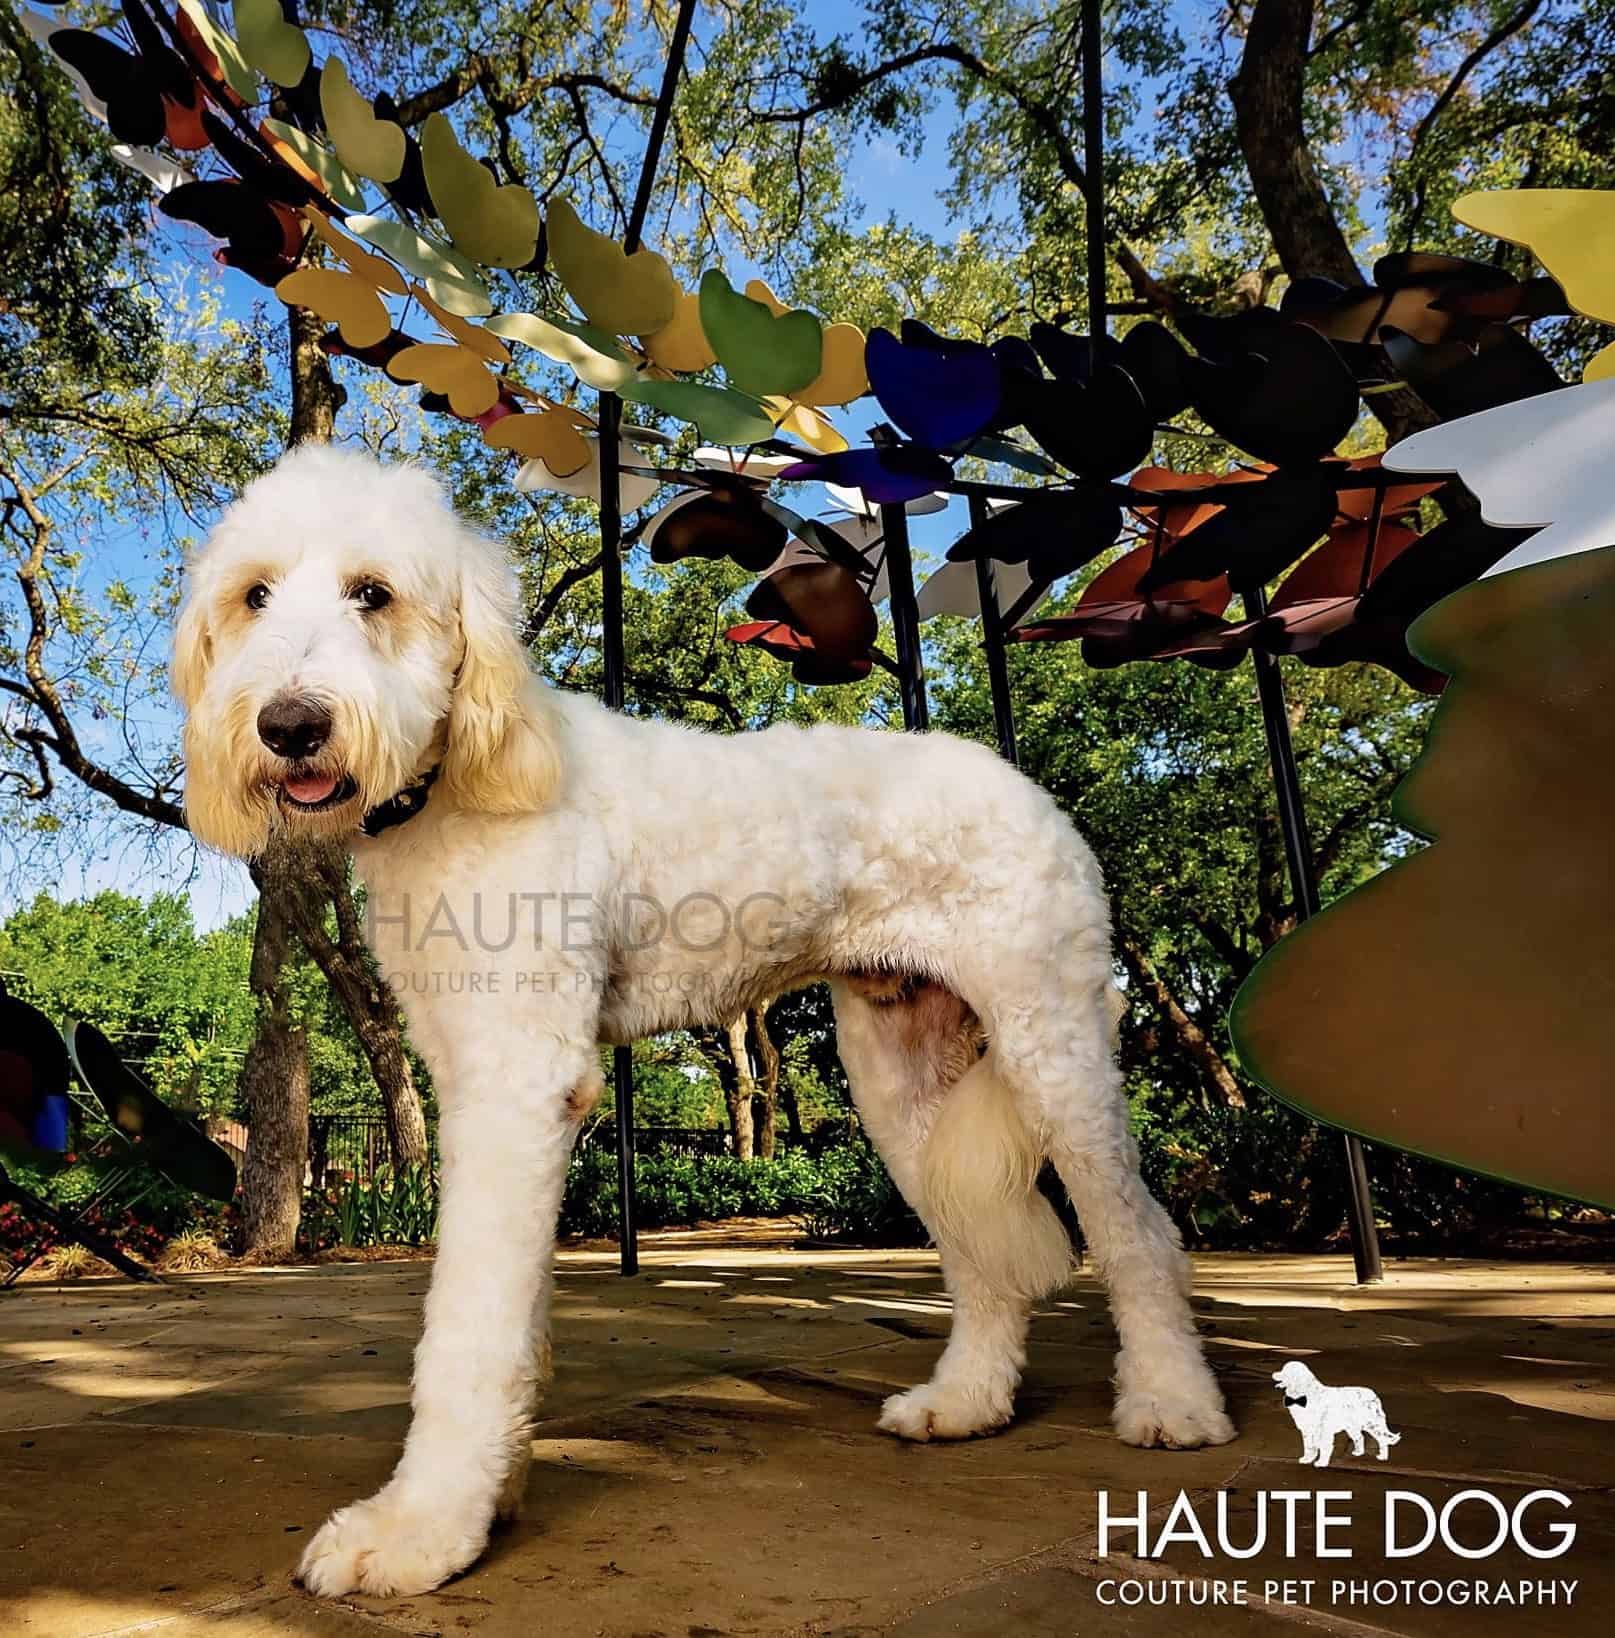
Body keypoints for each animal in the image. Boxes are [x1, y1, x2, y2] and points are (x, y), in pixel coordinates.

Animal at [174, 446, 1234, 1597]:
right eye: (254, 596)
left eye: (374, 593)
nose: (289, 727)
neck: (468, 769)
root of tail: (1012, 778)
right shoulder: (479, 1078)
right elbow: (513, 1314)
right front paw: (493, 1492)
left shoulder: (519, 1083)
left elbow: (466, 1326)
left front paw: (422, 1529)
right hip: (901, 1079)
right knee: (979, 1257)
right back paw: (963, 1404)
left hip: (1053, 1049)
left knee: (1137, 1234)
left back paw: (1171, 1402)